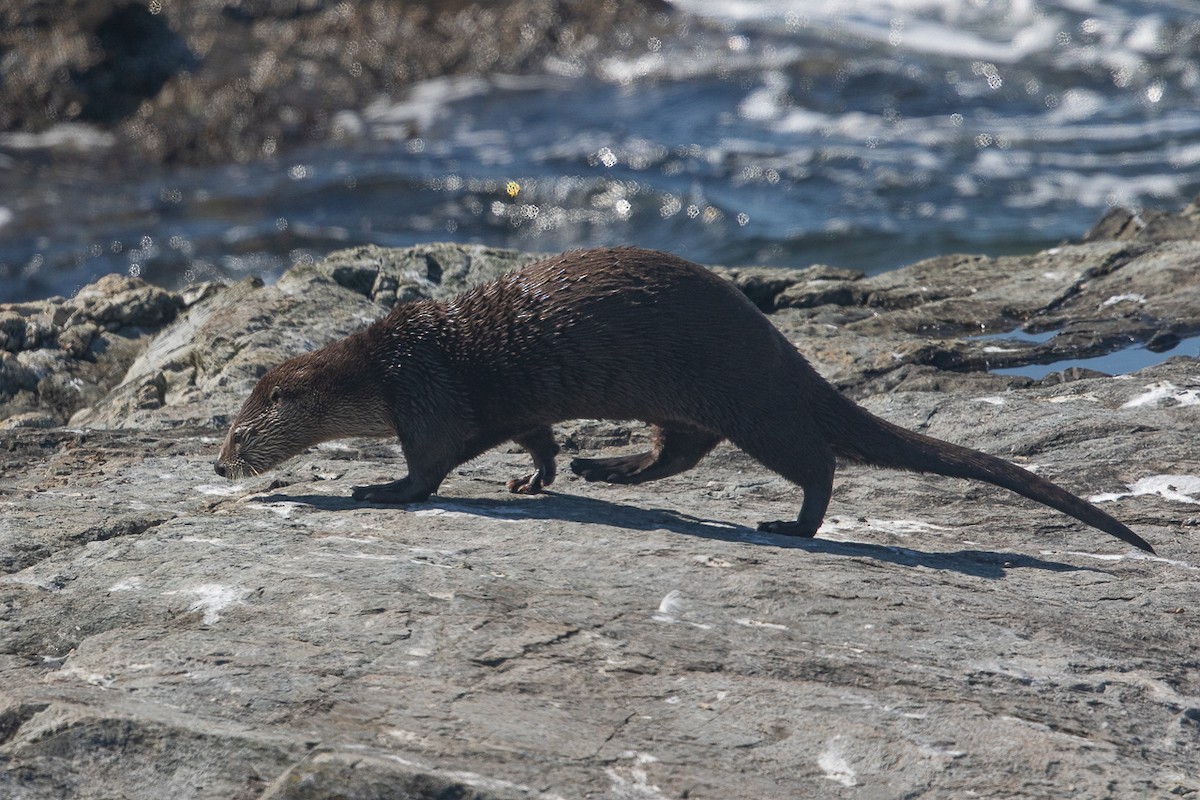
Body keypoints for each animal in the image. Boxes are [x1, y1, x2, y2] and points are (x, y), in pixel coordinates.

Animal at [215, 247, 1154, 554]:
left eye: (239, 427)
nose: (220, 464)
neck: (379, 368)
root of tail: (781, 350)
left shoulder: (425, 396)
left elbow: (429, 467)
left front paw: (374, 487)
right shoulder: (515, 410)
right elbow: (535, 438)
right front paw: (538, 478)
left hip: (750, 401)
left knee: (814, 458)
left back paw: (792, 525)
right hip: (688, 401)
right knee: (678, 453)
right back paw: (606, 468)